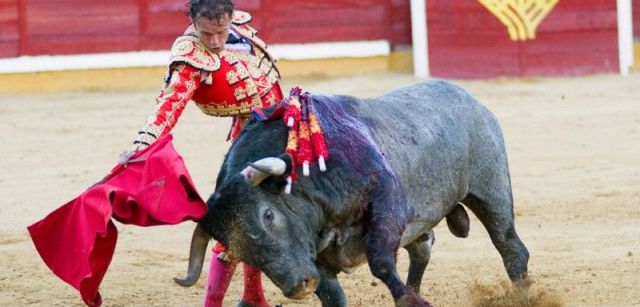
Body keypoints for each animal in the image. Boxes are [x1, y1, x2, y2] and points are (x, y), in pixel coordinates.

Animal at [176, 80, 528, 306]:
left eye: (268, 214)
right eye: (235, 245)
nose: (299, 286)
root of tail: (469, 98)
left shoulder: (386, 202)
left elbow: (381, 263)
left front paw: (412, 301)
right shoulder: (314, 256)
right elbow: (333, 294)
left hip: (490, 190)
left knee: (511, 247)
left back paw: (523, 293)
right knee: (422, 249)